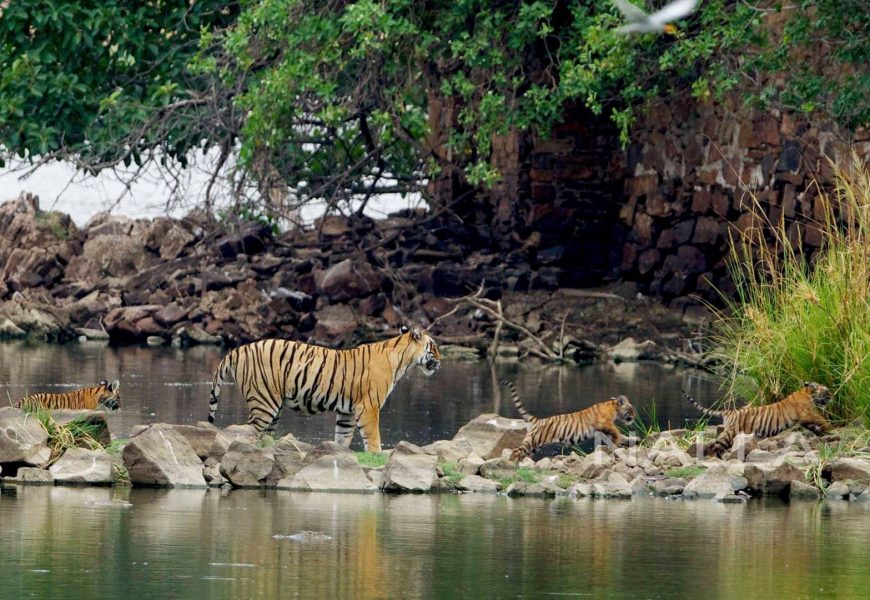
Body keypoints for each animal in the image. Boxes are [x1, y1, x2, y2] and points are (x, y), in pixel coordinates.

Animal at [209, 324, 442, 450]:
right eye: (434, 346)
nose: (440, 361)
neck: (403, 361)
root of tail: (237, 349)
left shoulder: (347, 411)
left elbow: (342, 437)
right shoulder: (368, 407)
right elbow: (373, 437)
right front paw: (377, 454)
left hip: (272, 408)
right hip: (264, 403)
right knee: (248, 431)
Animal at [504, 380, 640, 464]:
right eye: (631, 409)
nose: (635, 416)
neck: (613, 408)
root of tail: (538, 420)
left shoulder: (602, 430)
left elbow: (621, 436)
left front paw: (634, 440)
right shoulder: (604, 423)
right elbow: (616, 431)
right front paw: (617, 442)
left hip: (535, 446)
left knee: (522, 453)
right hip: (533, 441)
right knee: (516, 450)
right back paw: (511, 464)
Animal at [684, 382, 836, 458]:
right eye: (827, 390)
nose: (833, 395)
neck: (808, 393)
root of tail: (730, 411)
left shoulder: (805, 419)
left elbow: (814, 425)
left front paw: (822, 431)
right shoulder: (808, 414)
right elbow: (821, 418)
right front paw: (830, 427)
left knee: (715, 445)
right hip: (729, 434)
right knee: (714, 445)